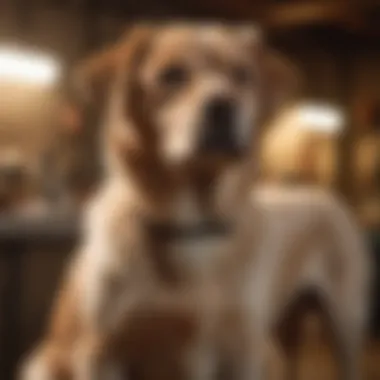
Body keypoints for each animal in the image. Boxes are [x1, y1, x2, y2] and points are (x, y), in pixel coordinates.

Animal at [20, 23, 372, 380]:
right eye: (172, 75)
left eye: (242, 74)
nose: (224, 106)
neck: (192, 224)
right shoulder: (101, 353)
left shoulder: (240, 349)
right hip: (40, 364)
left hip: (342, 320)